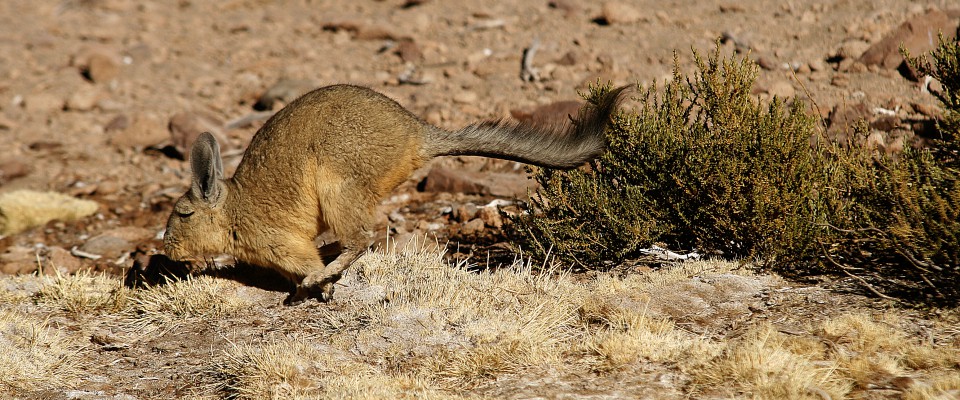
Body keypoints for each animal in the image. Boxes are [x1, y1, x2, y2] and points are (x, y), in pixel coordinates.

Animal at [163, 84, 627, 304]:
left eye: (183, 214)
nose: (167, 252)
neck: (232, 211)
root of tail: (418, 135)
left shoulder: (284, 244)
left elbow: (308, 263)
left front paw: (315, 287)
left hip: (338, 184)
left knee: (362, 239)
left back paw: (323, 278)